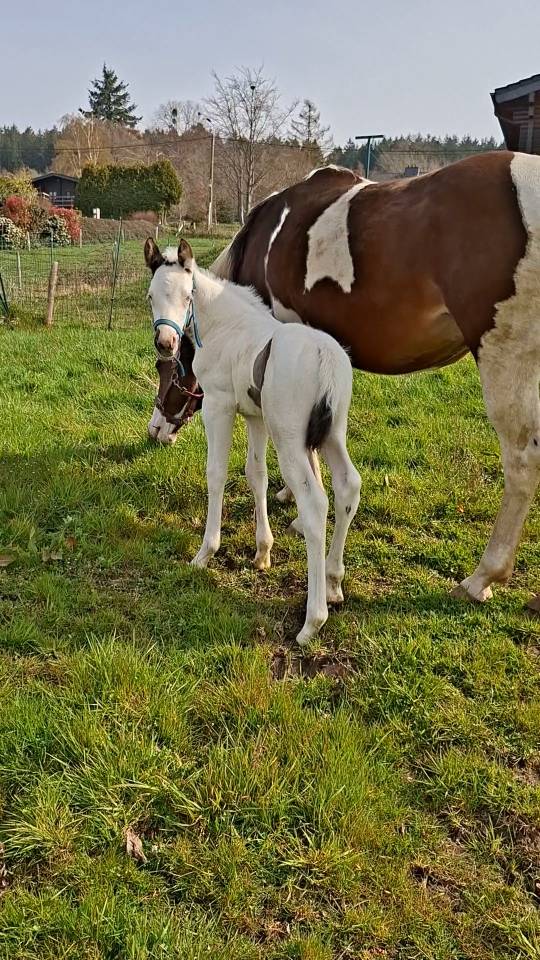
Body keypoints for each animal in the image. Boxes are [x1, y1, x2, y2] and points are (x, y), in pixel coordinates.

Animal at [145, 237, 361, 646]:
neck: (226, 328)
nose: (166, 343)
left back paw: (312, 621)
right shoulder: (255, 417)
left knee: (315, 503)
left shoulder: (219, 406)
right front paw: (262, 553)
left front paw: (205, 553)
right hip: (332, 434)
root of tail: (325, 357)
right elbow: (255, 474)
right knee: (348, 487)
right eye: (150, 296)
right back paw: (333, 583)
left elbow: (216, 473)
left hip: (290, 438)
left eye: (187, 295)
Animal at [149, 151, 540, 610]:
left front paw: (295, 510)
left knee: (521, 464)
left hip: (506, 356)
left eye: (166, 367)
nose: (156, 430)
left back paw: (482, 576)